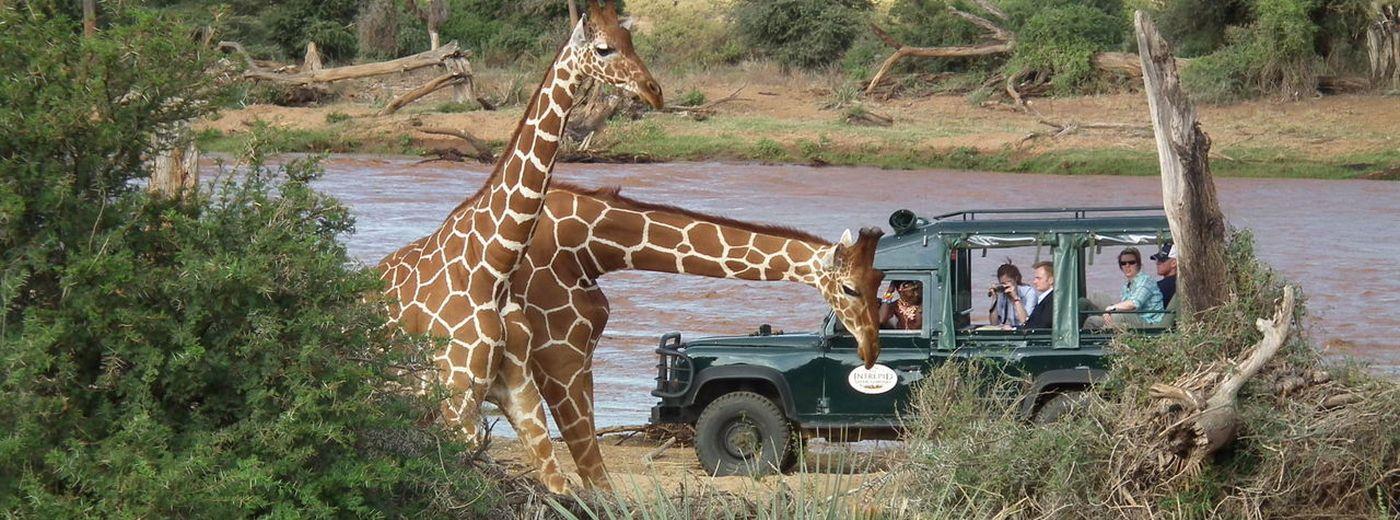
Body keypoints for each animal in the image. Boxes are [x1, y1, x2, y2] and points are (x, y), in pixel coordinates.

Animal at [375, 2, 663, 496]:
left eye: (632, 42)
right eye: (603, 48)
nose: (654, 91)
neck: (494, 267)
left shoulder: (518, 390)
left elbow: (559, 486)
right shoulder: (457, 396)